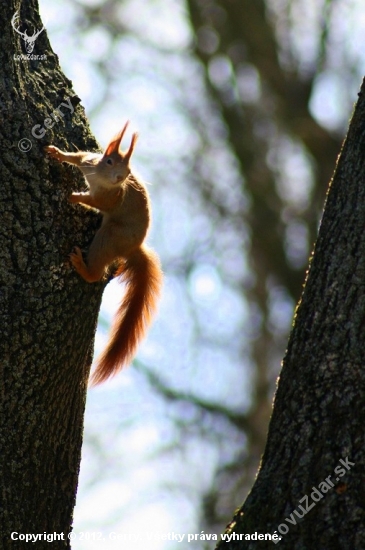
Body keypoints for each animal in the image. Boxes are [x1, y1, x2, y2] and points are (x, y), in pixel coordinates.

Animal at [44, 122, 161, 386]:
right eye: (109, 161)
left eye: (128, 169)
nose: (121, 177)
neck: (102, 181)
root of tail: (131, 249)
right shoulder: (89, 161)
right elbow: (76, 157)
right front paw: (57, 153)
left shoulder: (110, 199)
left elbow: (96, 202)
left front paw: (73, 196)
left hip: (109, 236)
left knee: (97, 272)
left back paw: (83, 267)